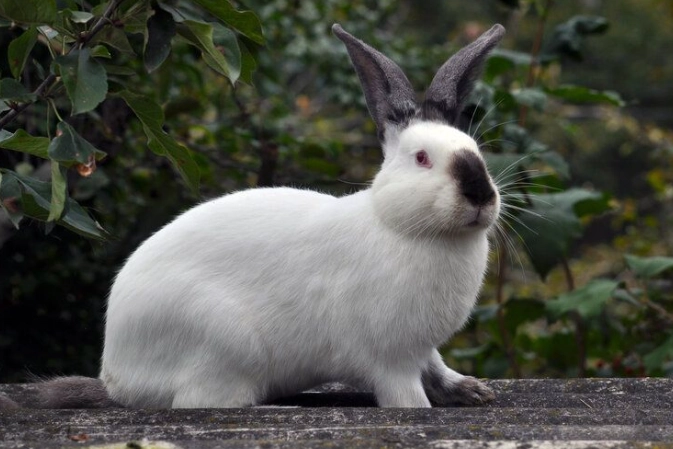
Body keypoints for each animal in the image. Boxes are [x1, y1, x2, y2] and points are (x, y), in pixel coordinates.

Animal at [0, 22, 505, 409]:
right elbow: (406, 397)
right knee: (199, 402)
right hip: (224, 344)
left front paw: (472, 391)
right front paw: (428, 407)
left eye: (476, 151)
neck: (402, 226)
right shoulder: (391, 359)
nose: (480, 194)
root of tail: (116, 378)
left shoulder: (424, 349)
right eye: (422, 158)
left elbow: (437, 368)